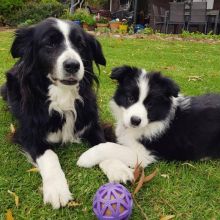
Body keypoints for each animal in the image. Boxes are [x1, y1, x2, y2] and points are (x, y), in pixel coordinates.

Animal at [0, 18, 106, 209]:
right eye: (50, 43)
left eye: (81, 44)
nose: (72, 65)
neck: (63, 95)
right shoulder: (28, 134)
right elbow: (50, 155)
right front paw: (57, 188)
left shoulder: (91, 124)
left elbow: (103, 144)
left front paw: (118, 167)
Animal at [77, 65, 220, 184]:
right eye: (130, 98)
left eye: (150, 104)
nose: (135, 120)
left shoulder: (143, 154)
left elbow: (110, 146)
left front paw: (86, 158)